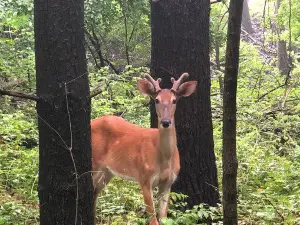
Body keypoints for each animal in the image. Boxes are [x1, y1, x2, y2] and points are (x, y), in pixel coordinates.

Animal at [91, 72, 198, 225]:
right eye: (157, 100)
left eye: (174, 100)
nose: (166, 122)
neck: (164, 158)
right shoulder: (144, 178)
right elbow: (153, 221)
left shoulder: (168, 183)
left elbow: (163, 219)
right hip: (93, 164)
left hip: (107, 171)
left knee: (94, 194)